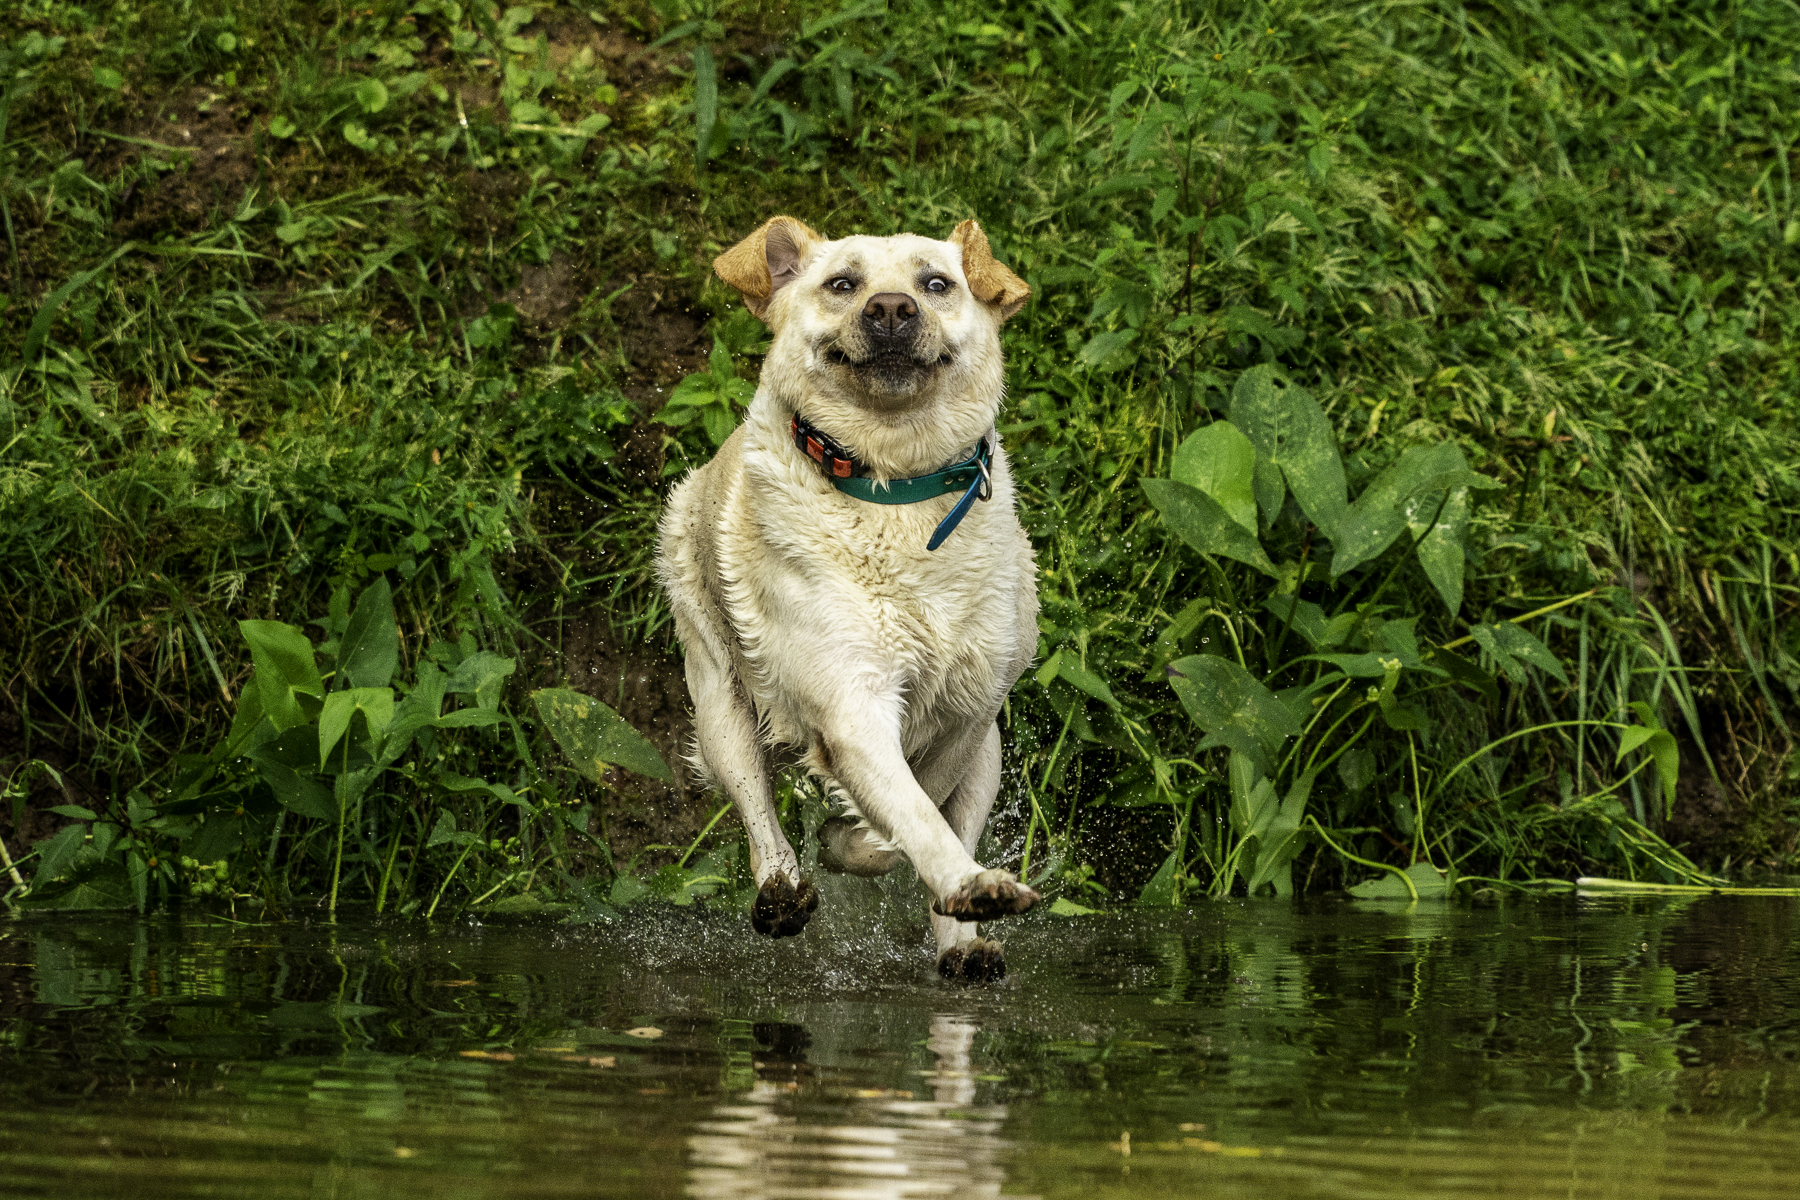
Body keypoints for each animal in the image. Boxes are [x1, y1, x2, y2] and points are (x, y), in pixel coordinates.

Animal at [655, 215, 1044, 978]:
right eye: (842, 284)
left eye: (936, 283)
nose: (891, 308)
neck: (896, 488)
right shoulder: (850, 703)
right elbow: (907, 815)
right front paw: (933, 870)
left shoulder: (970, 712)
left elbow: (924, 810)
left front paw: (949, 887)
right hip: (719, 702)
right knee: (758, 813)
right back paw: (782, 892)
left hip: (990, 755)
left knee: (958, 817)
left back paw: (964, 947)